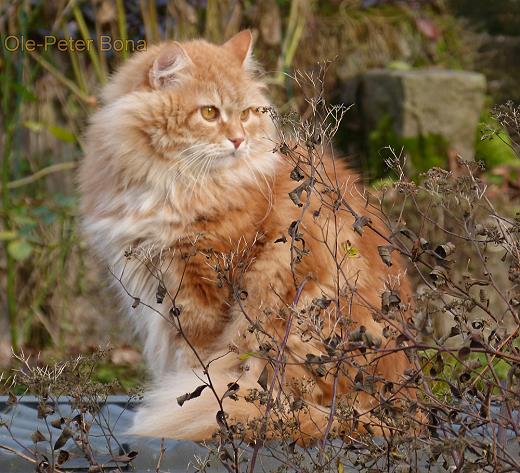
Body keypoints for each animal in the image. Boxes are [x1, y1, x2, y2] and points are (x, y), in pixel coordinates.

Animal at [79, 30, 416, 442]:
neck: (173, 183)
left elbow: (193, 365)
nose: (238, 140)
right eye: (209, 113)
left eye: (245, 114)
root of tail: (401, 410)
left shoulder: (198, 292)